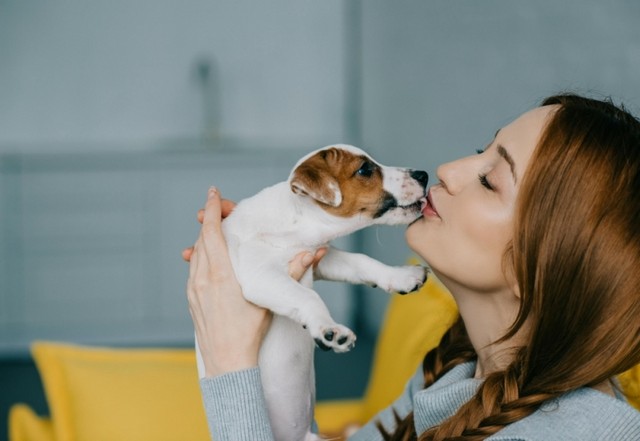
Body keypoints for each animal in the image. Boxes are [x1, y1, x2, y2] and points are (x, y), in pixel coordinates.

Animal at [192, 144, 428, 440]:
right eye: (364, 170)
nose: (424, 175)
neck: (294, 225)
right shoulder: (259, 275)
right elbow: (307, 296)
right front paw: (330, 329)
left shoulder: (321, 258)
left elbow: (362, 261)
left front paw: (402, 276)